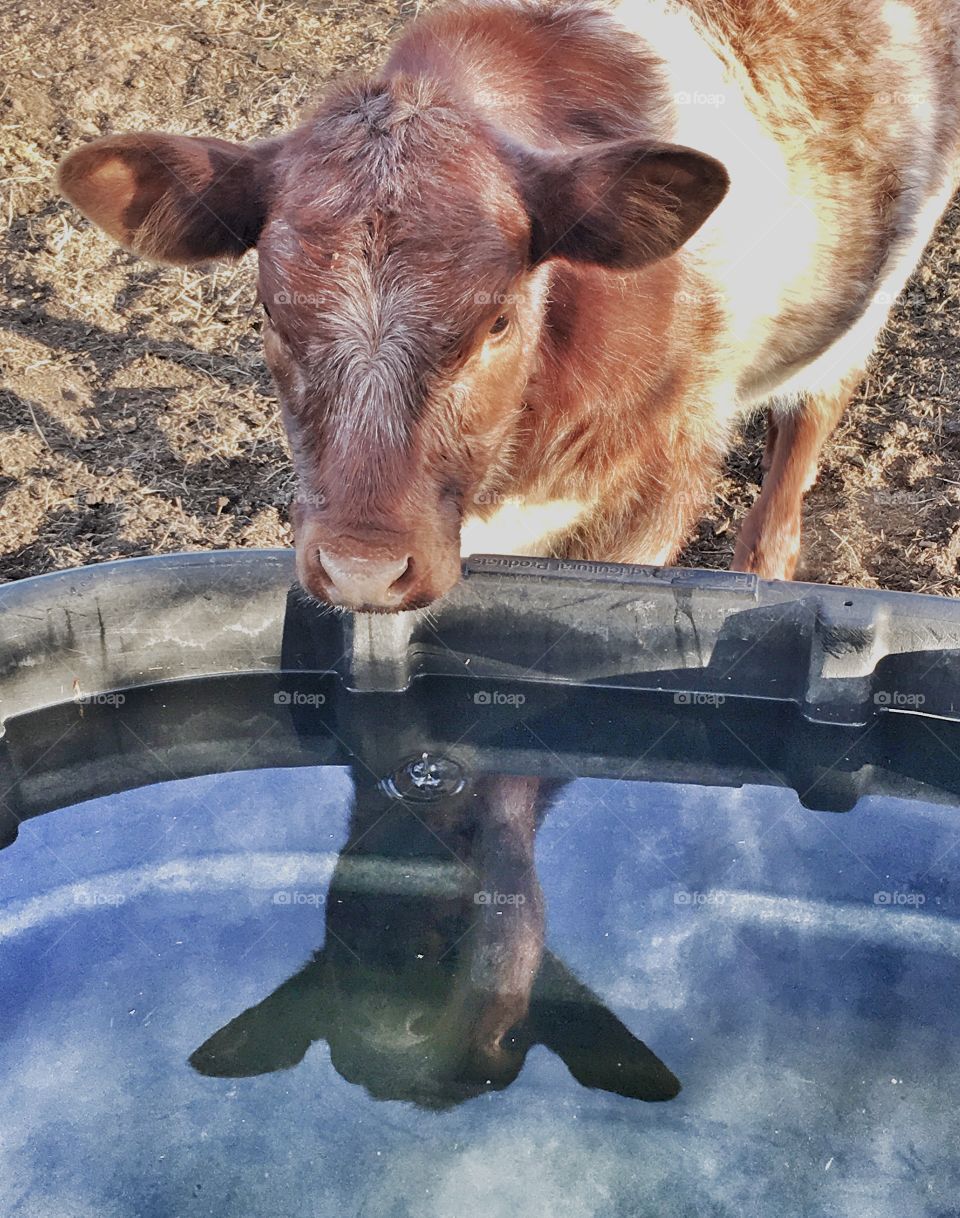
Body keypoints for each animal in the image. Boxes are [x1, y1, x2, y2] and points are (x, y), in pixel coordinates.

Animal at [56, 0, 960, 609]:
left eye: (496, 320)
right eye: (270, 316)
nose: (362, 570)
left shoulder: (656, 484)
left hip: (872, 291)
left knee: (808, 423)